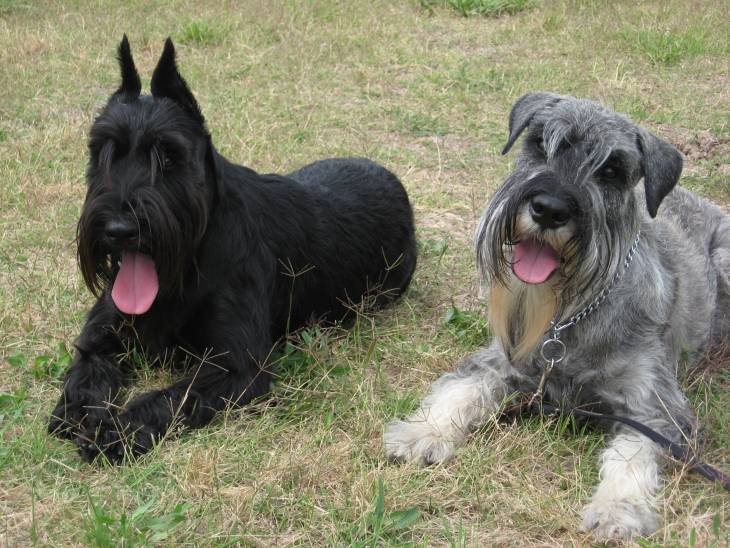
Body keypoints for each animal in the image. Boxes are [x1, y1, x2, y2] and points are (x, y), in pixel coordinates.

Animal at [49, 36, 416, 462]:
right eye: (102, 151)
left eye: (168, 156)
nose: (118, 230)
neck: (188, 262)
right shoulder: (103, 332)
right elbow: (87, 370)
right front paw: (78, 411)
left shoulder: (237, 367)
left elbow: (170, 397)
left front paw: (116, 430)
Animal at [382, 91, 728, 540]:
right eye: (540, 143)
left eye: (612, 170)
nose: (548, 209)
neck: (570, 316)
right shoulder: (503, 360)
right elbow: (460, 389)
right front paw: (423, 431)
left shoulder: (656, 408)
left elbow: (633, 454)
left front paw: (618, 508)